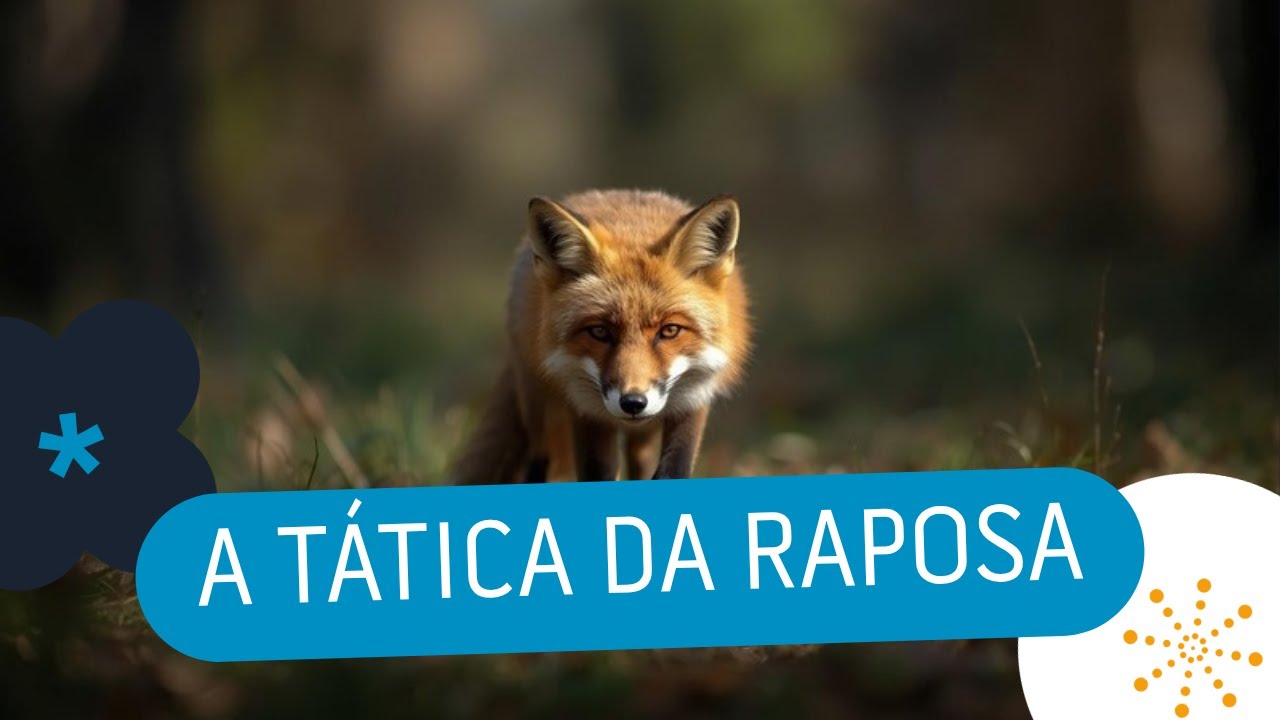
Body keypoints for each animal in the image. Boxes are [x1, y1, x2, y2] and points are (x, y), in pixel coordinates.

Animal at [450, 189, 751, 484]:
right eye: (599, 332)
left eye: (670, 331)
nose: (633, 403)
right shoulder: (585, 411)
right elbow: (597, 474)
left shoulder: (694, 399)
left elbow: (672, 471)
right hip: (539, 412)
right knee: (536, 466)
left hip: (643, 435)